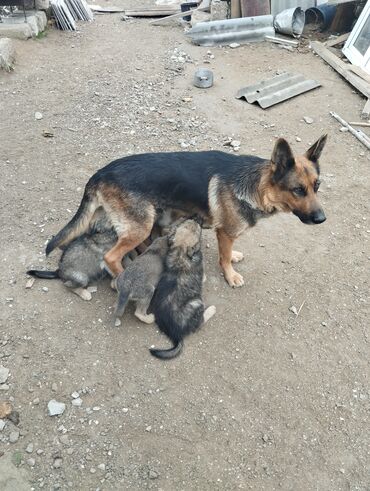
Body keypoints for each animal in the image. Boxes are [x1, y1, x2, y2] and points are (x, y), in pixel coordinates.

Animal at [45, 135, 326, 288]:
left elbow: (228, 253)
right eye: (298, 190)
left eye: (317, 186)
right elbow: (223, 257)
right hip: (140, 227)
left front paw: (234, 256)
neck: (256, 186)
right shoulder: (225, 232)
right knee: (110, 257)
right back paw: (122, 278)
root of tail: (100, 173)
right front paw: (230, 275)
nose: (322, 219)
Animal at [148, 219, 217, 362]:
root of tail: (175, 333)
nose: (196, 218)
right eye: (198, 229)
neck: (180, 252)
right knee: (200, 322)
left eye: (184, 222)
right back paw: (212, 309)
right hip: (197, 303)